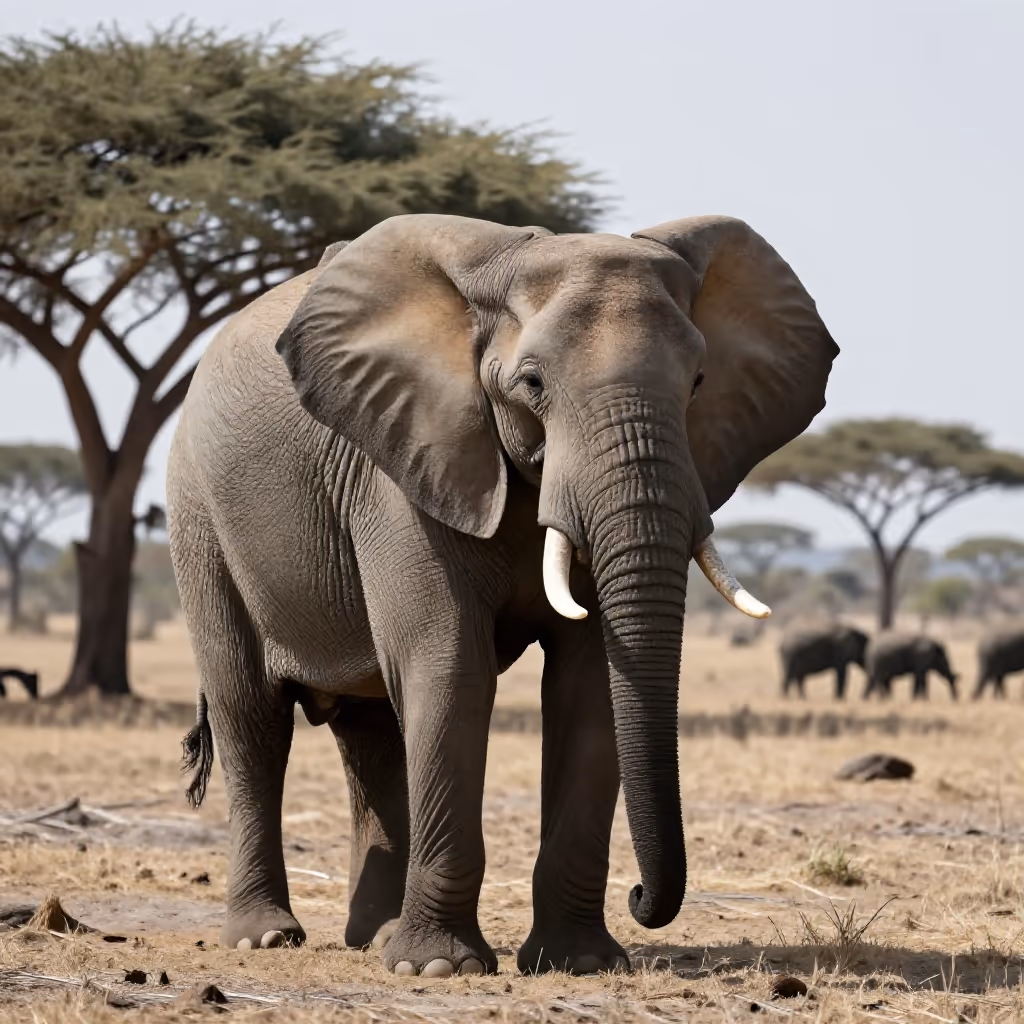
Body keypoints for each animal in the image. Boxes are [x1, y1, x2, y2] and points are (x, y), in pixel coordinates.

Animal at [167, 213, 837, 977]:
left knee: (368, 731)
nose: (641, 895)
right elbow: (451, 668)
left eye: (698, 381)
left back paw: (375, 933)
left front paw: (579, 962)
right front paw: (437, 969)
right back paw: (268, 936)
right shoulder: (404, 465)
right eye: (533, 383)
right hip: (199, 515)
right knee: (251, 716)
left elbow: (590, 684)